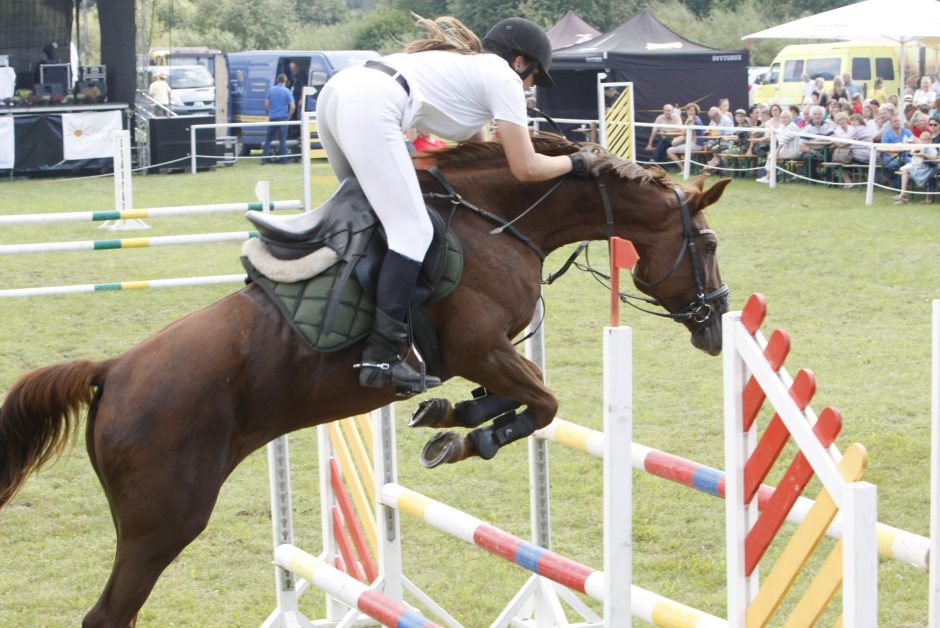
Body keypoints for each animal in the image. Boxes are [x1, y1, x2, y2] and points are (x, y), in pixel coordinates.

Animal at [0, 135, 732, 624]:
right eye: (710, 243)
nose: (719, 326)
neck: (501, 221)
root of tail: (112, 371)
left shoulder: (483, 356)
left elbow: (522, 395)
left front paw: (452, 422)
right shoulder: (479, 345)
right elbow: (544, 400)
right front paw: (469, 436)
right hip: (162, 523)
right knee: (107, 614)